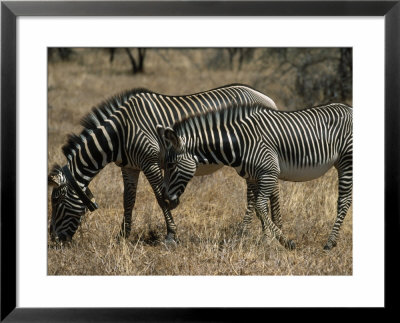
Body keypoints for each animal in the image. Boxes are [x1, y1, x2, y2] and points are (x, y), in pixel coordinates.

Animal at [47, 85, 278, 244]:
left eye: (56, 201)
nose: (53, 239)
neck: (121, 132)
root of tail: (267, 98)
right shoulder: (129, 167)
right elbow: (128, 200)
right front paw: (123, 235)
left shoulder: (150, 163)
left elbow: (160, 197)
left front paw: (171, 235)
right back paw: (270, 228)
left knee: (258, 194)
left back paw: (255, 232)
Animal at [159, 102, 354, 249]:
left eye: (170, 165)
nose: (165, 198)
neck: (240, 142)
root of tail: (349, 108)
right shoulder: (253, 177)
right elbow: (258, 208)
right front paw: (264, 240)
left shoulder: (269, 173)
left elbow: (260, 205)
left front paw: (285, 241)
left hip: (346, 160)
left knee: (344, 200)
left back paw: (330, 243)